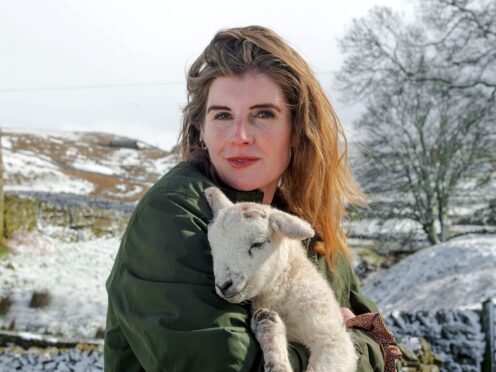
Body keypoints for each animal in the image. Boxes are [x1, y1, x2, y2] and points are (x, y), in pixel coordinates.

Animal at [204, 186, 356, 372]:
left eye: (258, 243)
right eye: (212, 244)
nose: (223, 285)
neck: (281, 289)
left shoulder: (332, 338)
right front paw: (269, 329)